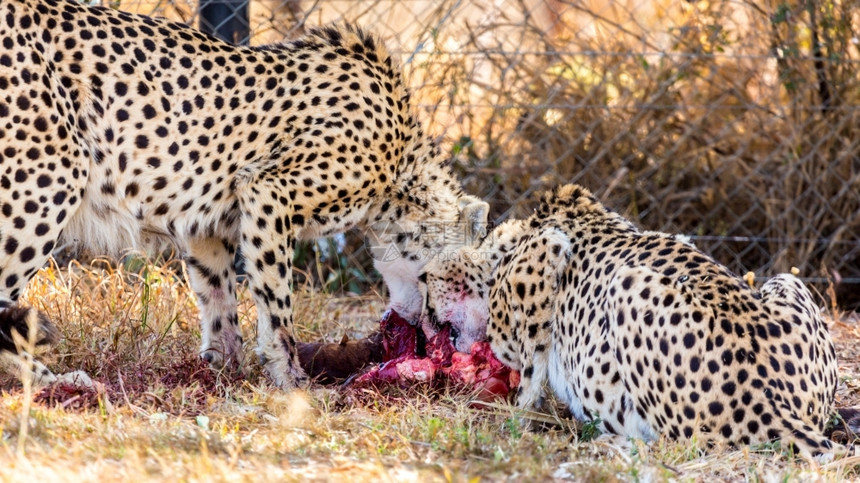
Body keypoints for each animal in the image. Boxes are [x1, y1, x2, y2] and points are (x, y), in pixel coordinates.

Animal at [420, 184, 848, 458]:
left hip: (626, 283)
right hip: (787, 279)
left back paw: (607, 442)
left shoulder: (546, 252)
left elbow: (529, 371)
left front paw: (514, 420)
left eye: (424, 278)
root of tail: (777, 407)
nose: (423, 321)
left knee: (681, 444)